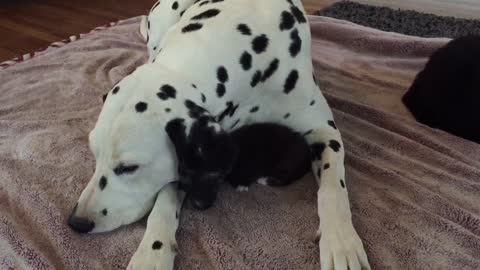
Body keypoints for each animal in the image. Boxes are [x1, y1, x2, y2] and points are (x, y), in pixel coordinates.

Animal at [66, 0, 372, 268]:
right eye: (93, 154)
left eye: (129, 167)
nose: (77, 222)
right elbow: (166, 198)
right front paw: (153, 251)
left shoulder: (324, 131)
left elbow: (333, 189)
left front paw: (341, 242)